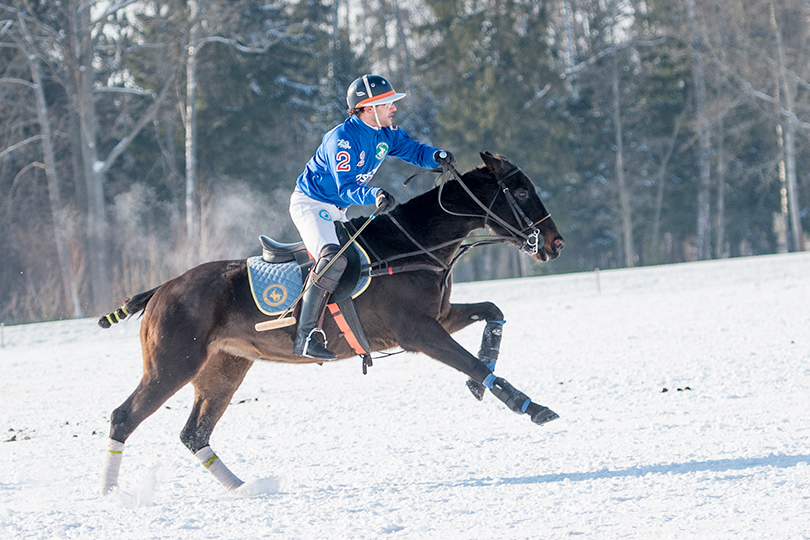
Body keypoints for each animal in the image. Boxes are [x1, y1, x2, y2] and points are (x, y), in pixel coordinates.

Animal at [96, 151, 560, 494]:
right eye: (521, 190)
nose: (555, 244)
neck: (411, 246)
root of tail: (161, 288)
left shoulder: (440, 317)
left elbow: (493, 312)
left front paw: (482, 383)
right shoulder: (419, 331)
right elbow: (474, 364)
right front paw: (533, 408)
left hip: (225, 367)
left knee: (194, 433)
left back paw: (245, 488)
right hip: (173, 364)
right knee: (123, 417)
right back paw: (110, 496)